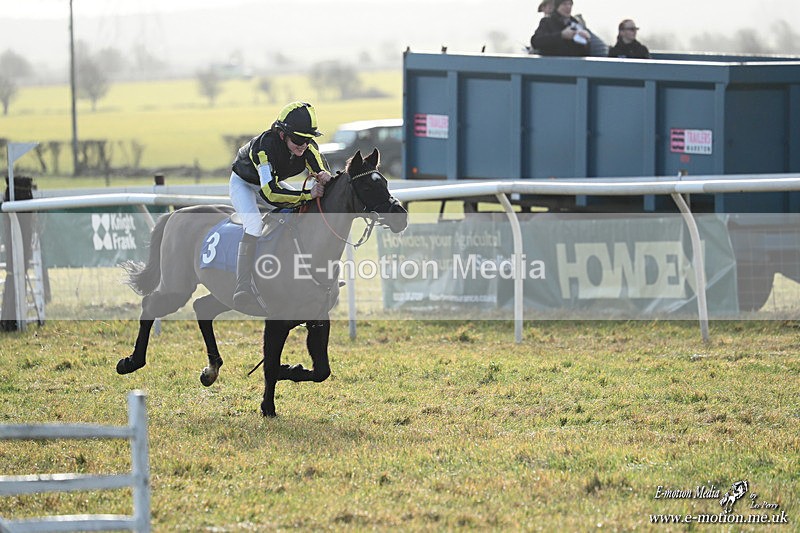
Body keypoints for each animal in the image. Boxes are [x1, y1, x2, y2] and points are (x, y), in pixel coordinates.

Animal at [117, 149, 408, 416]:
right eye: (368, 185)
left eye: (384, 182)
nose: (401, 215)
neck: (309, 249)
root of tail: (175, 214)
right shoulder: (276, 320)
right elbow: (270, 364)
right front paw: (268, 406)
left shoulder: (317, 318)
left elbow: (320, 370)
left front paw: (290, 369)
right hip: (177, 287)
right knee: (150, 304)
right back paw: (131, 362)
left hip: (223, 294)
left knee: (202, 308)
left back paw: (211, 370)